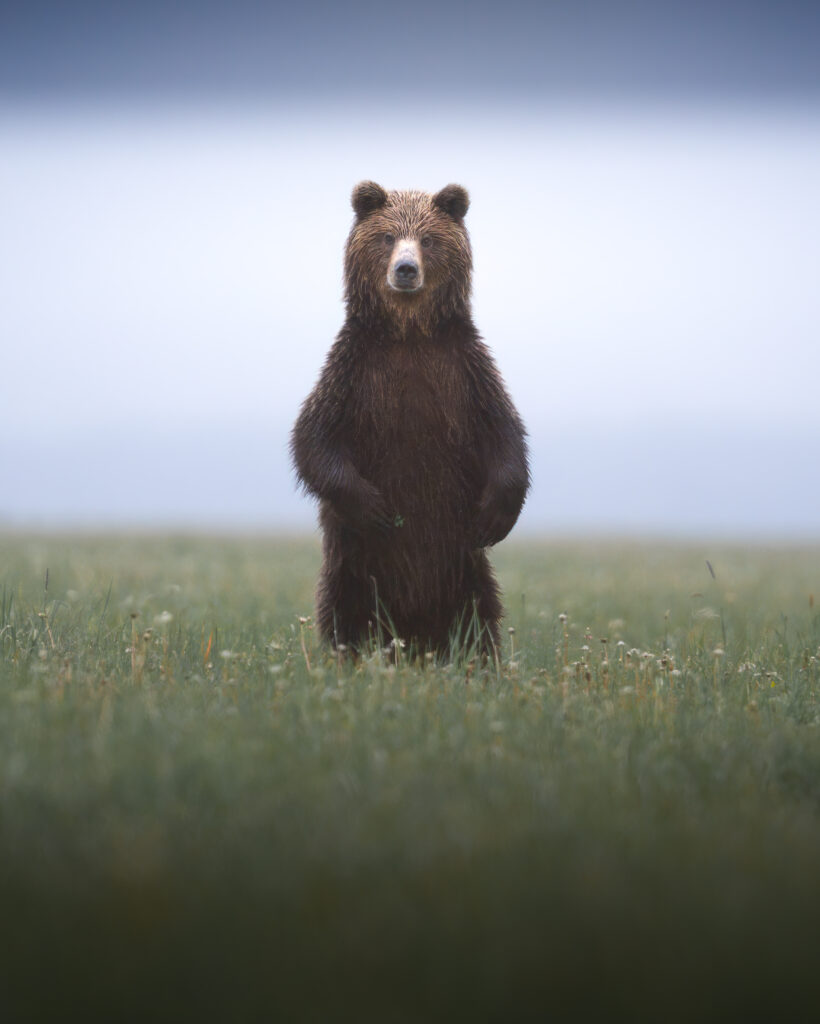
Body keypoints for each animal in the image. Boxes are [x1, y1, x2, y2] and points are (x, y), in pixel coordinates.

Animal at [291, 181, 529, 659]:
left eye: (428, 240)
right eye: (386, 237)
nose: (405, 269)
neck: (409, 334)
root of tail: (414, 634)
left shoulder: (465, 371)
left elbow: (504, 432)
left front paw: (497, 516)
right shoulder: (353, 371)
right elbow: (315, 438)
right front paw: (375, 509)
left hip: (463, 566)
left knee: (480, 614)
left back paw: (477, 658)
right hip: (353, 564)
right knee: (343, 610)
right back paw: (350, 655)